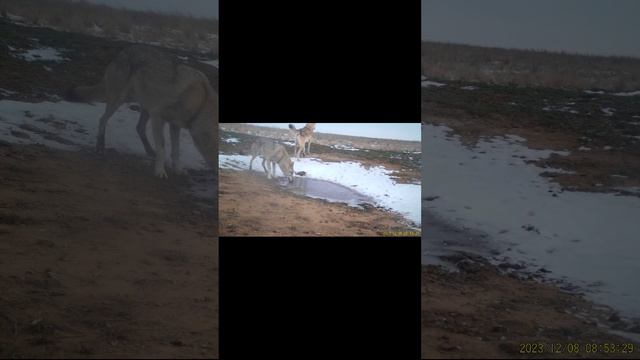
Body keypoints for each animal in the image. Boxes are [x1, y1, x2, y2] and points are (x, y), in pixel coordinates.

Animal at [65, 45, 218, 179]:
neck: (200, 103)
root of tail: (122, 52)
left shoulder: (175, 125)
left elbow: (176, 151)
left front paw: (178, 170)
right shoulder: (158, 116)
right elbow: (162, 148)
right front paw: (160, 172)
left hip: (144, 107)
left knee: (139, 128)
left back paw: (150, 151)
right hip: (120, 101)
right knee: (102, 119)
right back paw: (100, 147)